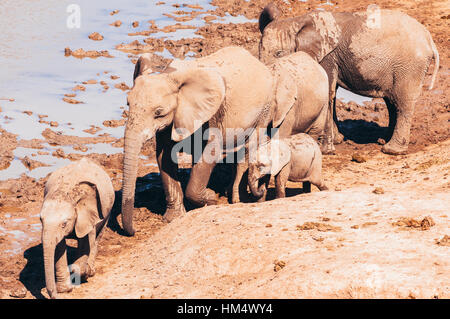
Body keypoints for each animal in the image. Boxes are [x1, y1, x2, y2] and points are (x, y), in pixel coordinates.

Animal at [40, 159, 115, 302]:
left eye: (64, 224)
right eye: (40, 220)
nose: (55, 296)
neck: (65, 192)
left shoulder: (89, 214)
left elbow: (86, 242)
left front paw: (84, 272)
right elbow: (59, 246)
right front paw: (65, 290)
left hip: (107, 210)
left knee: (97, 237)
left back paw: (91, 270)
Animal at [121, 46, 296, 236]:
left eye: (159, 112)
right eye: (128, 104)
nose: (135, 230)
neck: (171, 75)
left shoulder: (212, 115)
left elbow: (211, 152)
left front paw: (211, 199)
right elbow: (164, 157)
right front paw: (173, 218)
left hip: (265, 109)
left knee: (250, 148)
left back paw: (241, 199)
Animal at [258, 3, 438, 156]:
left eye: (279, 53)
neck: (297, 22)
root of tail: (430, 40)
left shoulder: (328, 56)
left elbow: (328, 92)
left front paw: (327, 150)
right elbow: (332, 93)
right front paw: (338, 141)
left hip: (409, 68)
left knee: (403, 103)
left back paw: (392, 150)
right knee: (392, 102)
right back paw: (383, 140)